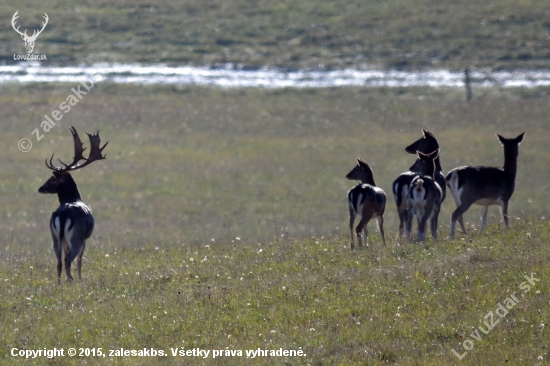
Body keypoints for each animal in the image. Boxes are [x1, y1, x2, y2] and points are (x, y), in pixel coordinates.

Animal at [38, 126, 108, 284]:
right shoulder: (84, 240)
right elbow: (80, 261)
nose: (40, 188)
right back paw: (71, 282)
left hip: (55, 237)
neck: (73, 198)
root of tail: (64, 215)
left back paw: (59, 283)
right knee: (68, 260)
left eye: (52, 179)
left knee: (59, 261)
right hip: (76, 237)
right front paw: (81, 279)